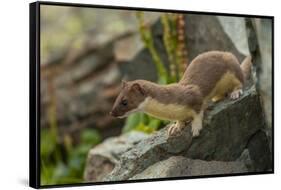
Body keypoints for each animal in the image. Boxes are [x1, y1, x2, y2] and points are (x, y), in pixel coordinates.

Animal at [108, 50, 250, 137]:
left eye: (124, 101)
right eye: (116, 98)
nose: (112, 113)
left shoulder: (194, 95)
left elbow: (198, 111)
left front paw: (196, 127)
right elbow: (180, 120)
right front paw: (175, 127)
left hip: (232, 66)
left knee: (241, 81)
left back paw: (235, 92)